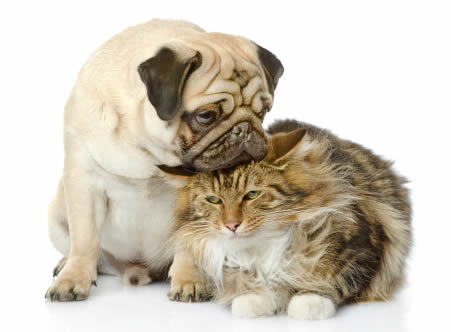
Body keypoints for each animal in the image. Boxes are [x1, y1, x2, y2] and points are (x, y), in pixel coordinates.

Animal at [46, 19, 286, 302]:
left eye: (264, 111)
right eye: (206, 116)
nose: (244, 130)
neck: (147, 151)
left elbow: (189, 246)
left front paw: (189, 280)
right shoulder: (85, 184)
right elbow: (84, 241)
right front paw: (73, 279)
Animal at [167, 120, 414, 320]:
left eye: (252, 194)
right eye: (213, 200)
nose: (231, 225)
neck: (261, 246)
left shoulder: (363, 246)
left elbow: (334, 278)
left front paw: (309, 302)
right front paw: (253, 298)